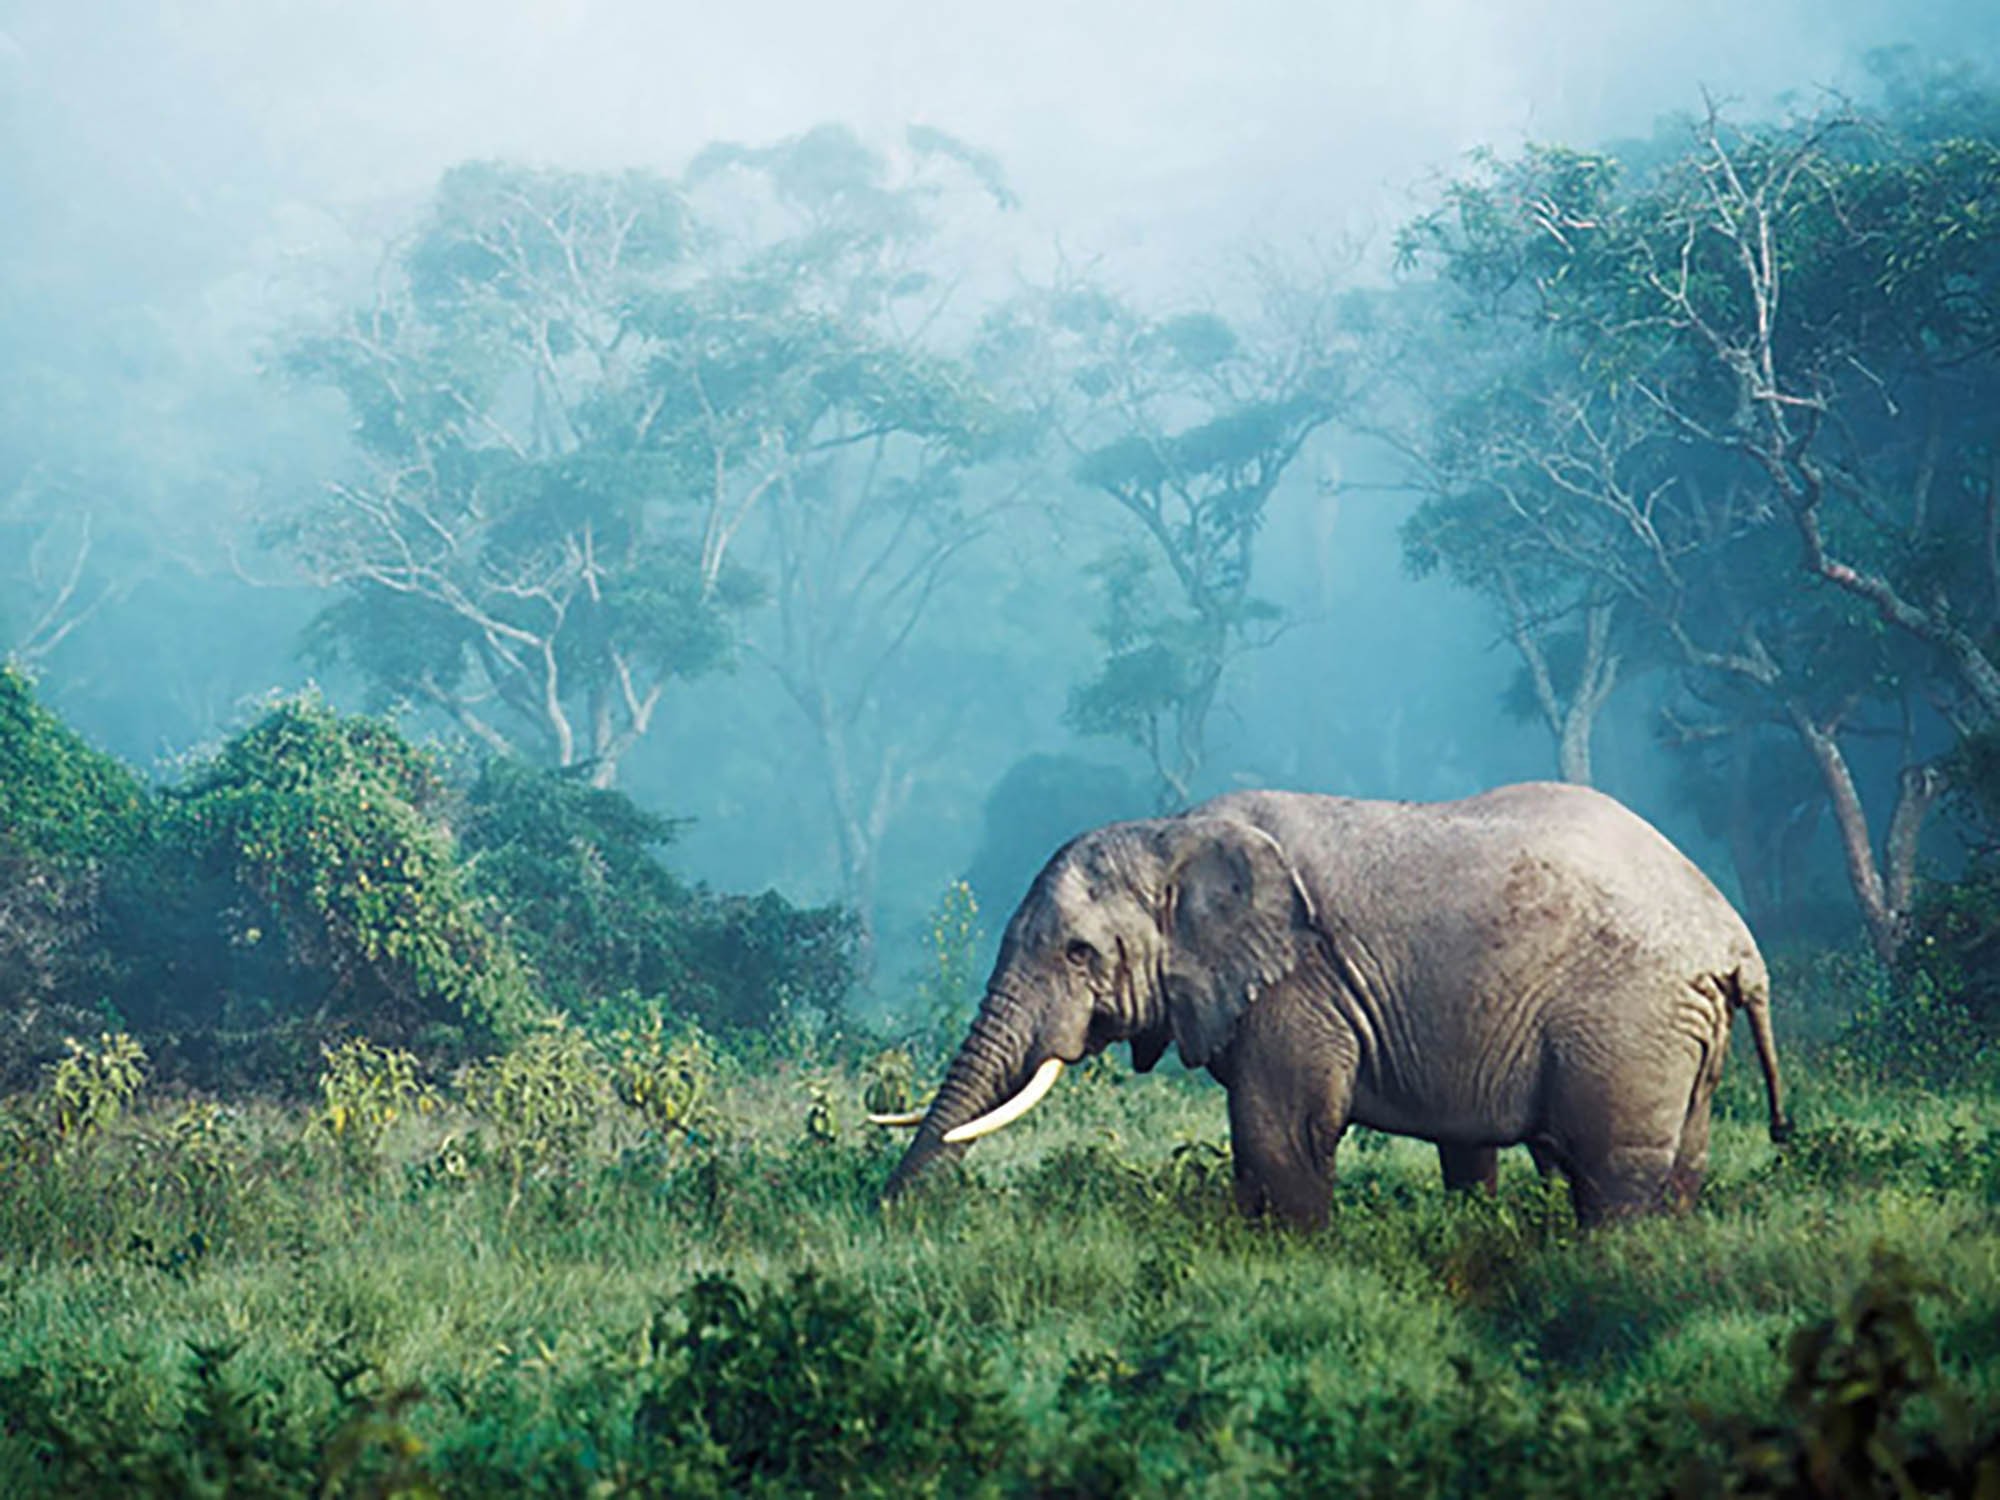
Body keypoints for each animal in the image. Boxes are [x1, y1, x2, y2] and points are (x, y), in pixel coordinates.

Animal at [876, 783, 1790, 1227]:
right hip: (1680, 1029)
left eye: (1078, 954)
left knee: (1609, 1174)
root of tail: (1735, 940)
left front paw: (1293, 1258)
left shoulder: (1300, 985)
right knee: (1673, 1167)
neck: (1172, 831)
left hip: (1629, 1018)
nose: (886, 1212)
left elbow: (1282, 1131)